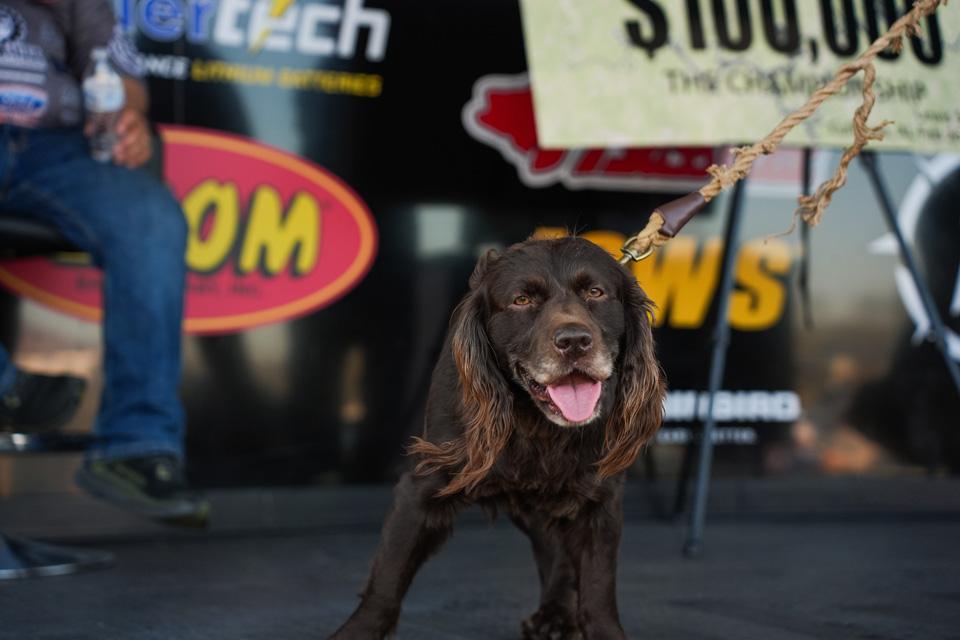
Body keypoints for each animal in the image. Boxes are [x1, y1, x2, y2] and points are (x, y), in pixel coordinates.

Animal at [330, 237, 665, 639]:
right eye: (522, 300)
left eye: (596, 293)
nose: (574, 341)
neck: (536, 423)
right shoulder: (423, 486)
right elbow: (387, 579)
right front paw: (356, 632)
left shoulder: (598, 499)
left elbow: (598, 588)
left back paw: (555, 614)